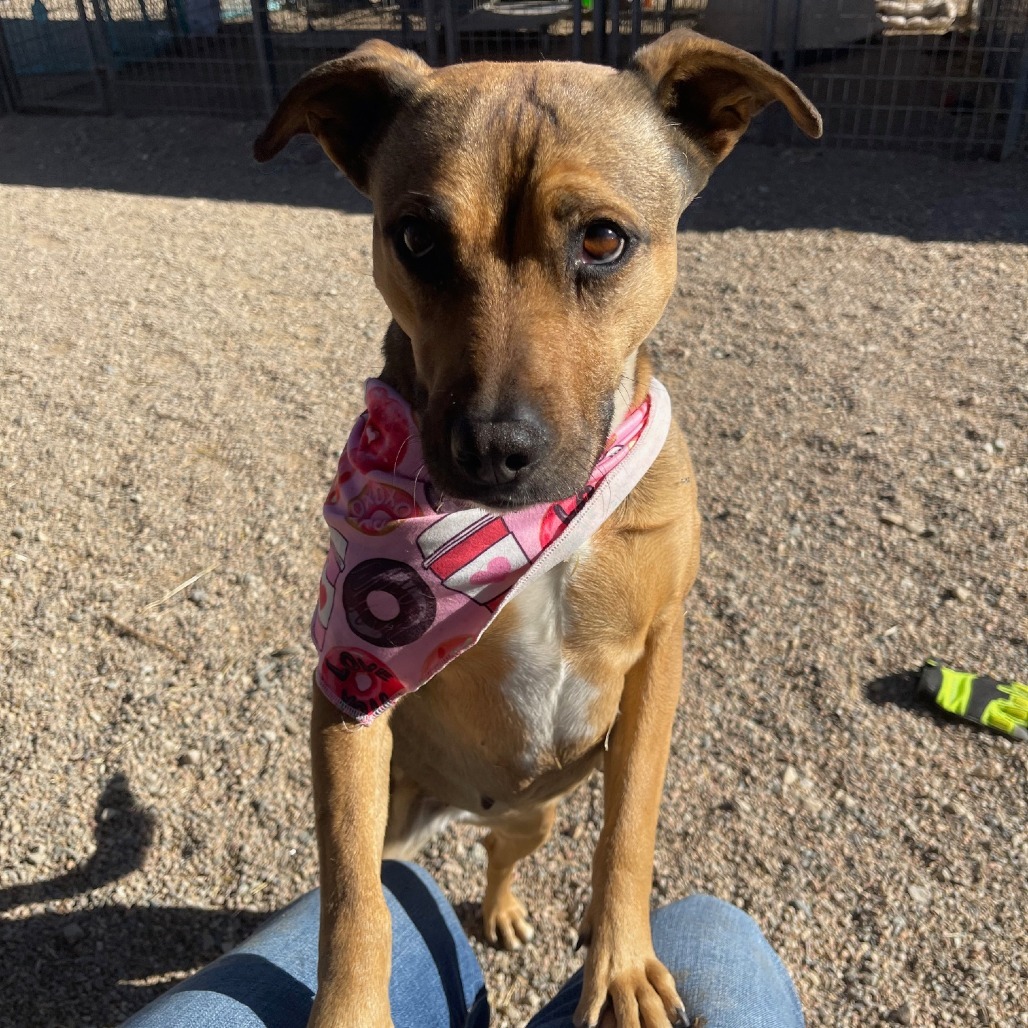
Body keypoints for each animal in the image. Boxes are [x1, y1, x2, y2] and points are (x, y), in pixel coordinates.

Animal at [254, 32, 818, 1028]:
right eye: (416, 237)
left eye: (601, 238)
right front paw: (352, 1007)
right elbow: (353, 897)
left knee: (502, 852)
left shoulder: (659, 654)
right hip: (403, 800)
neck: (522, 531)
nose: (492, 449)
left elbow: (630, 824)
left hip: (537, 811)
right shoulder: (350, 684)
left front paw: (623, 962)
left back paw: (511, 907)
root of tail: (466, 802)